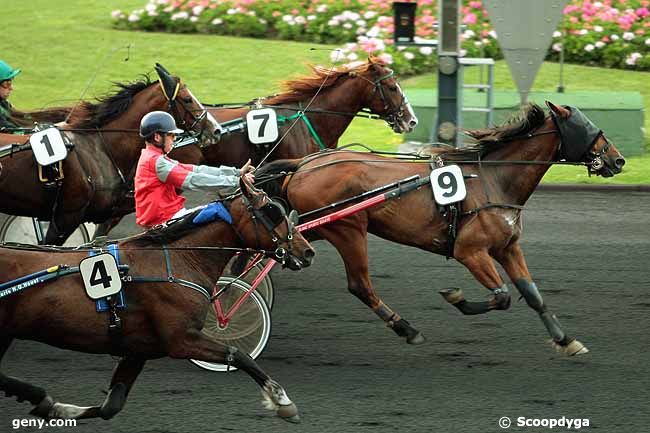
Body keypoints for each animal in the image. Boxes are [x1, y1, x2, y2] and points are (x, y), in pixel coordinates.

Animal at [0, 176, 314, 422]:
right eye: (272, 211)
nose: (307, 251)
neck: (178, 260)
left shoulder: (139, 347)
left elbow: (111, 405)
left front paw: (61, 410)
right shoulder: (180, 340)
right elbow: (239, 354)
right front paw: (282, 401)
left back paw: (40, 399)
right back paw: (36, 394)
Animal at [256, 102, 624, 358]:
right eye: (589, 129)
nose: (618, 160)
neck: (493, 180)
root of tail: (304, 164)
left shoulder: (507, 247)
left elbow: (533, 295)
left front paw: (567, 340)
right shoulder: (470, 251)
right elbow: (502, 296)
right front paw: (456, 297)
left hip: (318, 228)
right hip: (348, 229)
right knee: (360, 285)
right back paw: (406, 328)